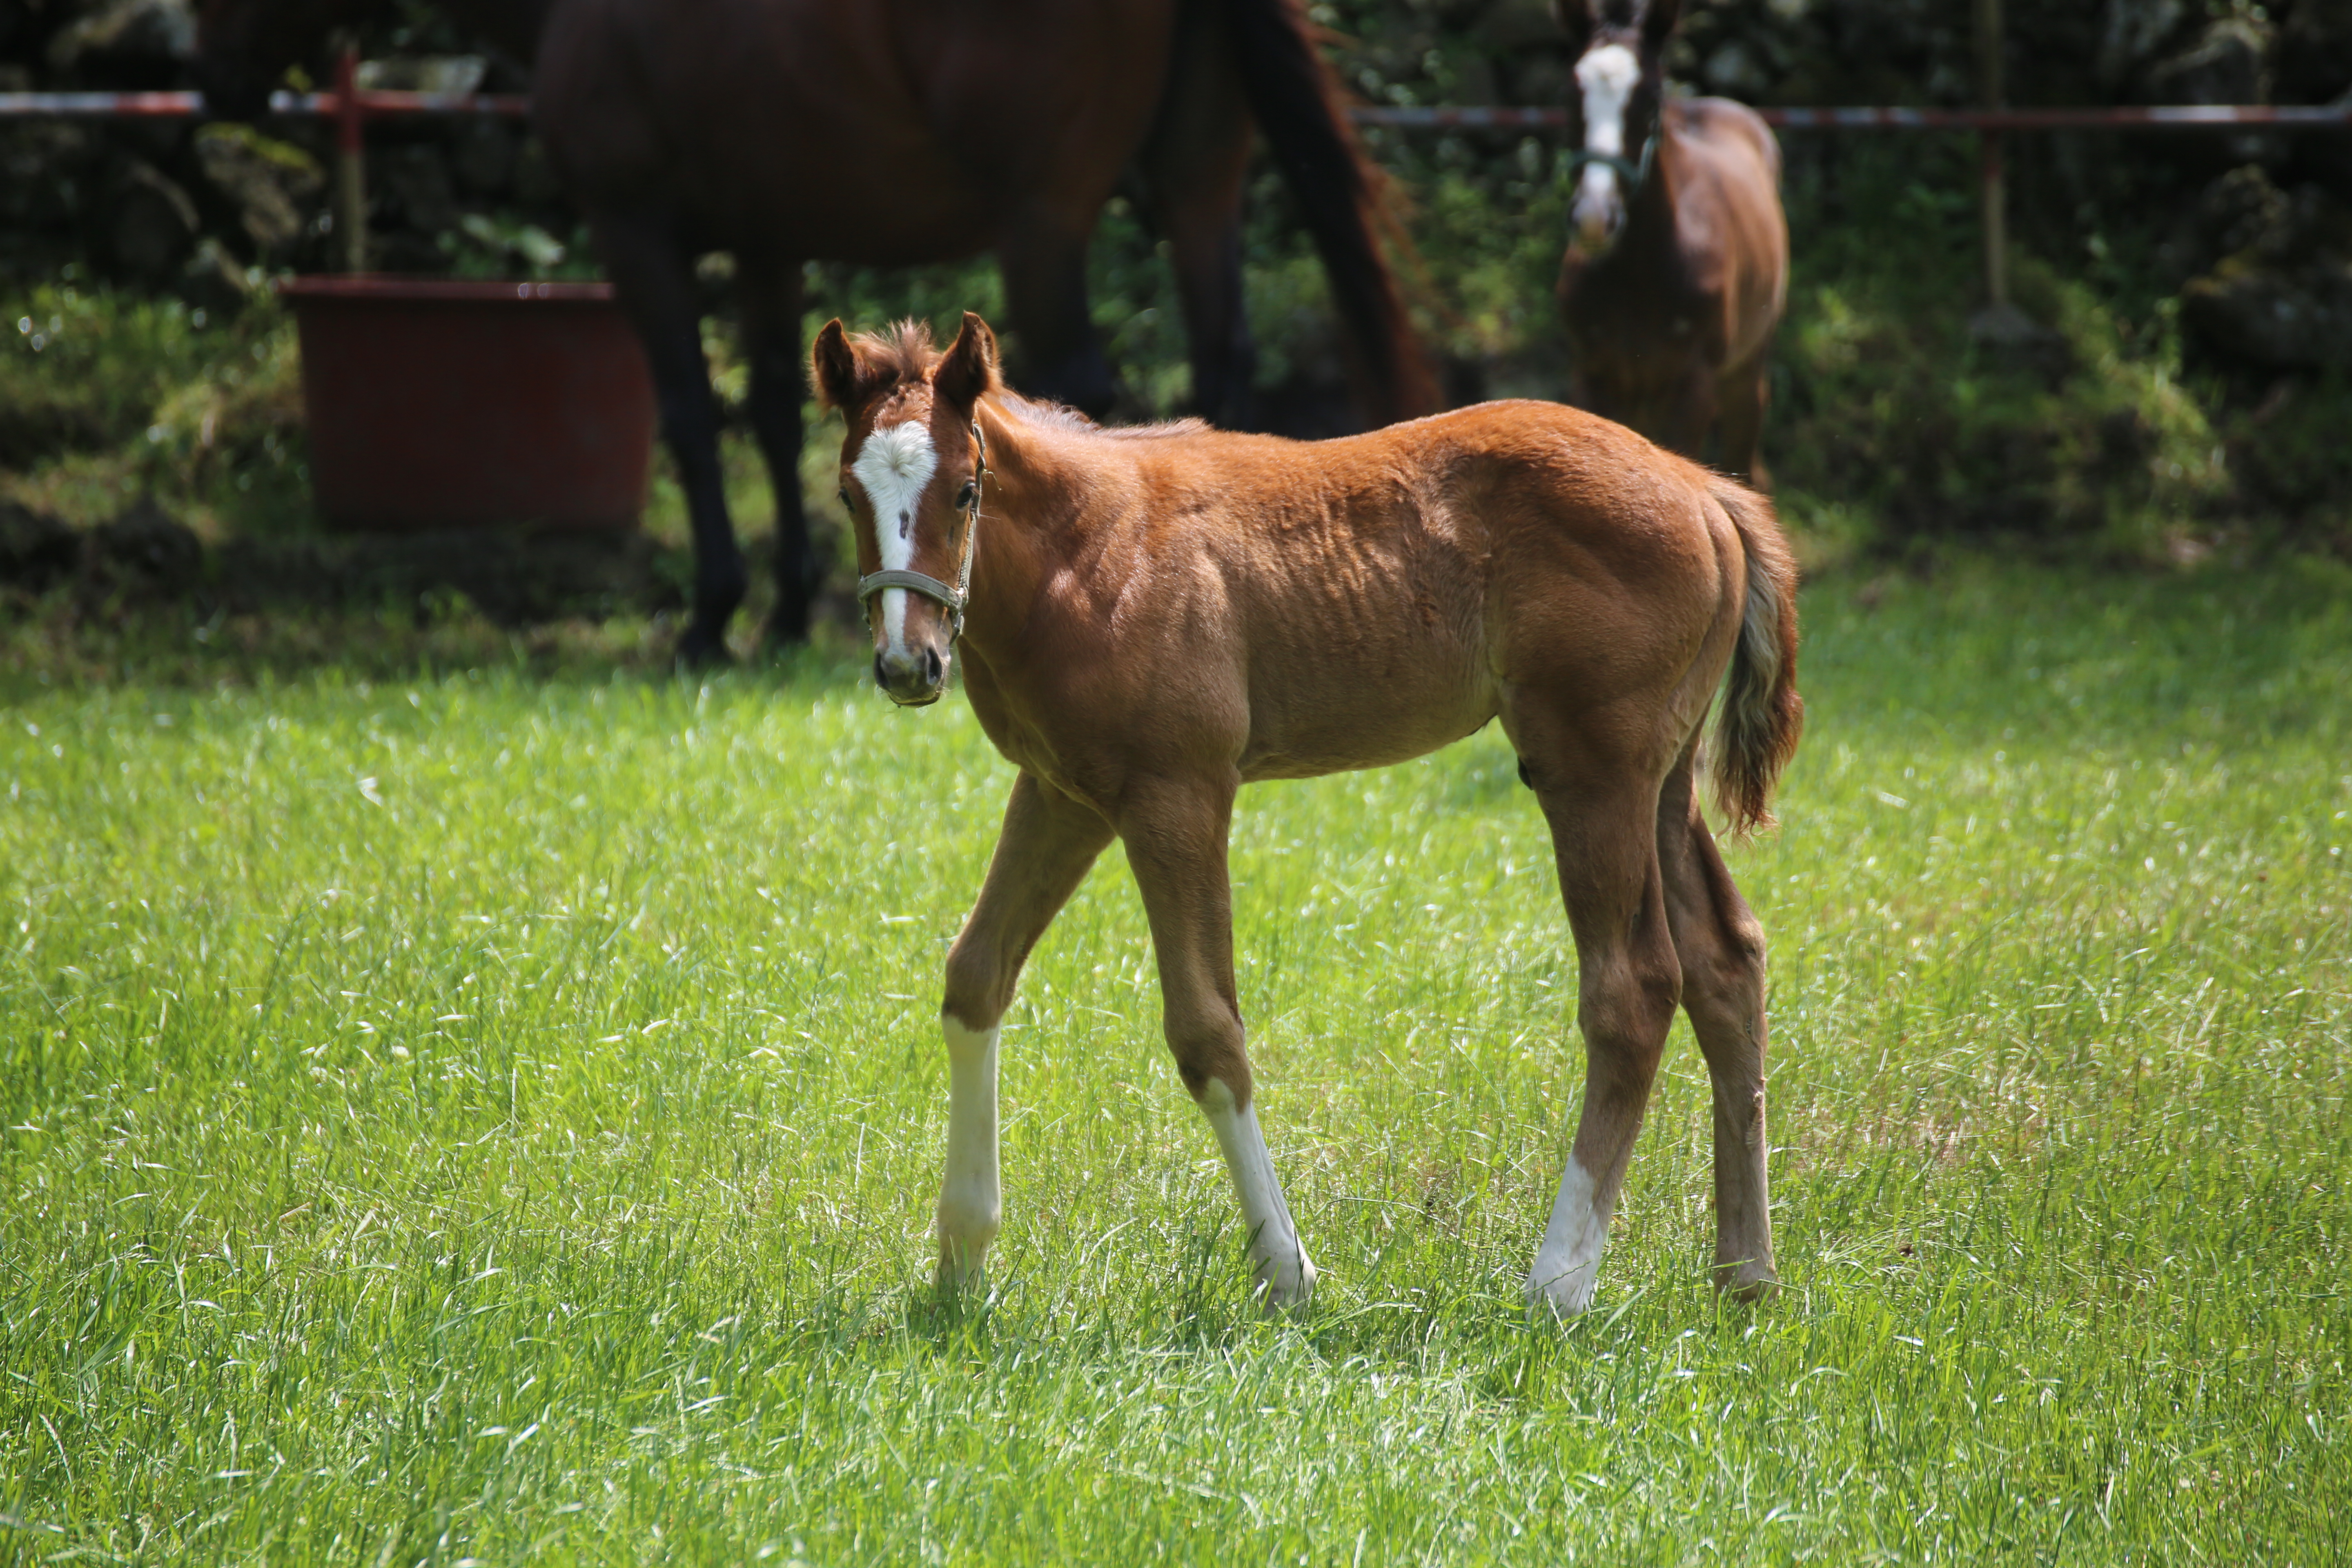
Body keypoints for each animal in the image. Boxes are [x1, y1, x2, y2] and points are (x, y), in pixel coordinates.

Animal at [197, 0, 1430, 663]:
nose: (215, 84)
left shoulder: (636, 228)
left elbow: (694, 418)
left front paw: (712, 614)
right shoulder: (768, 246)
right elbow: (780, 418)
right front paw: (786, 604)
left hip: (1045, 218)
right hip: (1197, 181)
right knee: (1220, 368)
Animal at [818, 310, 1806, 1316]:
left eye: (966, 490)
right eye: (848, 494)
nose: (908, 663)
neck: (1090, 552)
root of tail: (1702, 489)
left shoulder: (1178, 793)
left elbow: (1207, 1029)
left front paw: (1287, 1272)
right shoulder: (1065, 795)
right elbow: (975, 976)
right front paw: (959, 1264)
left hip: (1591, 771)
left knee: (1634, 987)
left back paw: (1557, 1285)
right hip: (1663, 777)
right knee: (1727, 960)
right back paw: (1746, 1275)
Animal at [1561, 0, 1778, 484]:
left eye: (1652, 98)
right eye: (1571, 93)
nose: (1595, 217)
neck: (1641, 278)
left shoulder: (1694, 384)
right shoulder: (1594, 375)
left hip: (1744, 370)